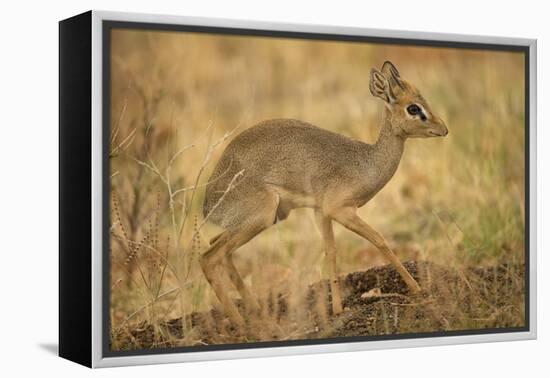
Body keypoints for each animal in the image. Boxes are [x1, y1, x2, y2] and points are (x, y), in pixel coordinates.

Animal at [202, 60, 448, 326]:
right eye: (413, 108)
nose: (443, 129)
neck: (366, 163)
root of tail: (209, 205)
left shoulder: (321, 212)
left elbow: (330, 251)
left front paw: (338, 309)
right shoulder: (340, 210)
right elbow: (379, 240)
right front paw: (417, 288)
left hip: (262, 220)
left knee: (219, 249)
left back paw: (256, 311)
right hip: (261, 217)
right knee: (209, 257)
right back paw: (241, 323)